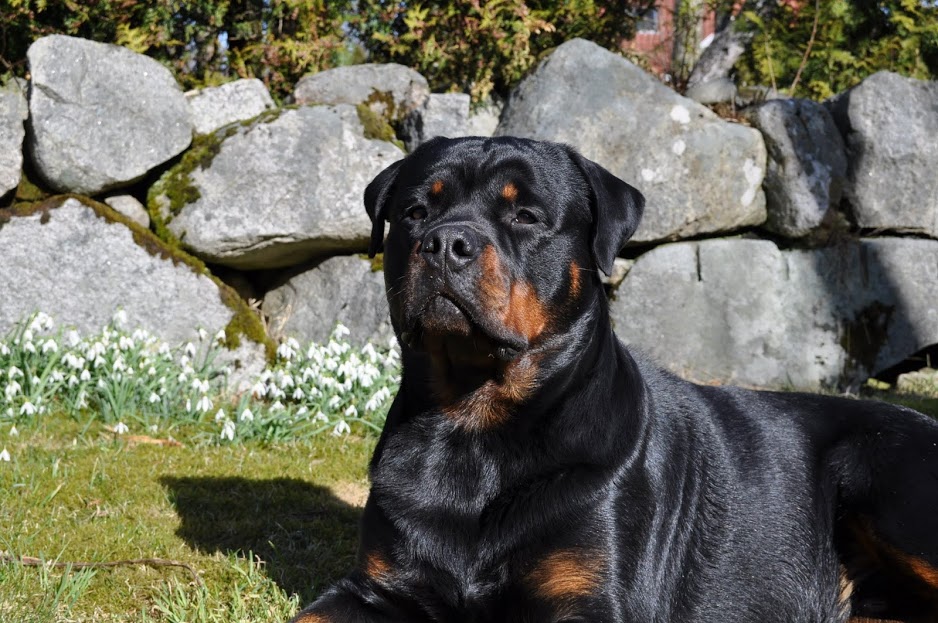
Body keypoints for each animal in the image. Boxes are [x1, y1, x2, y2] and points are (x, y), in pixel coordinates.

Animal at [292, 137, 938, 622]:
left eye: (525, 216)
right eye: (414, 213)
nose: (446, 241)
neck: (475, 426)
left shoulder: (590, 599)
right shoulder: (375, 588)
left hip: (883, 473)